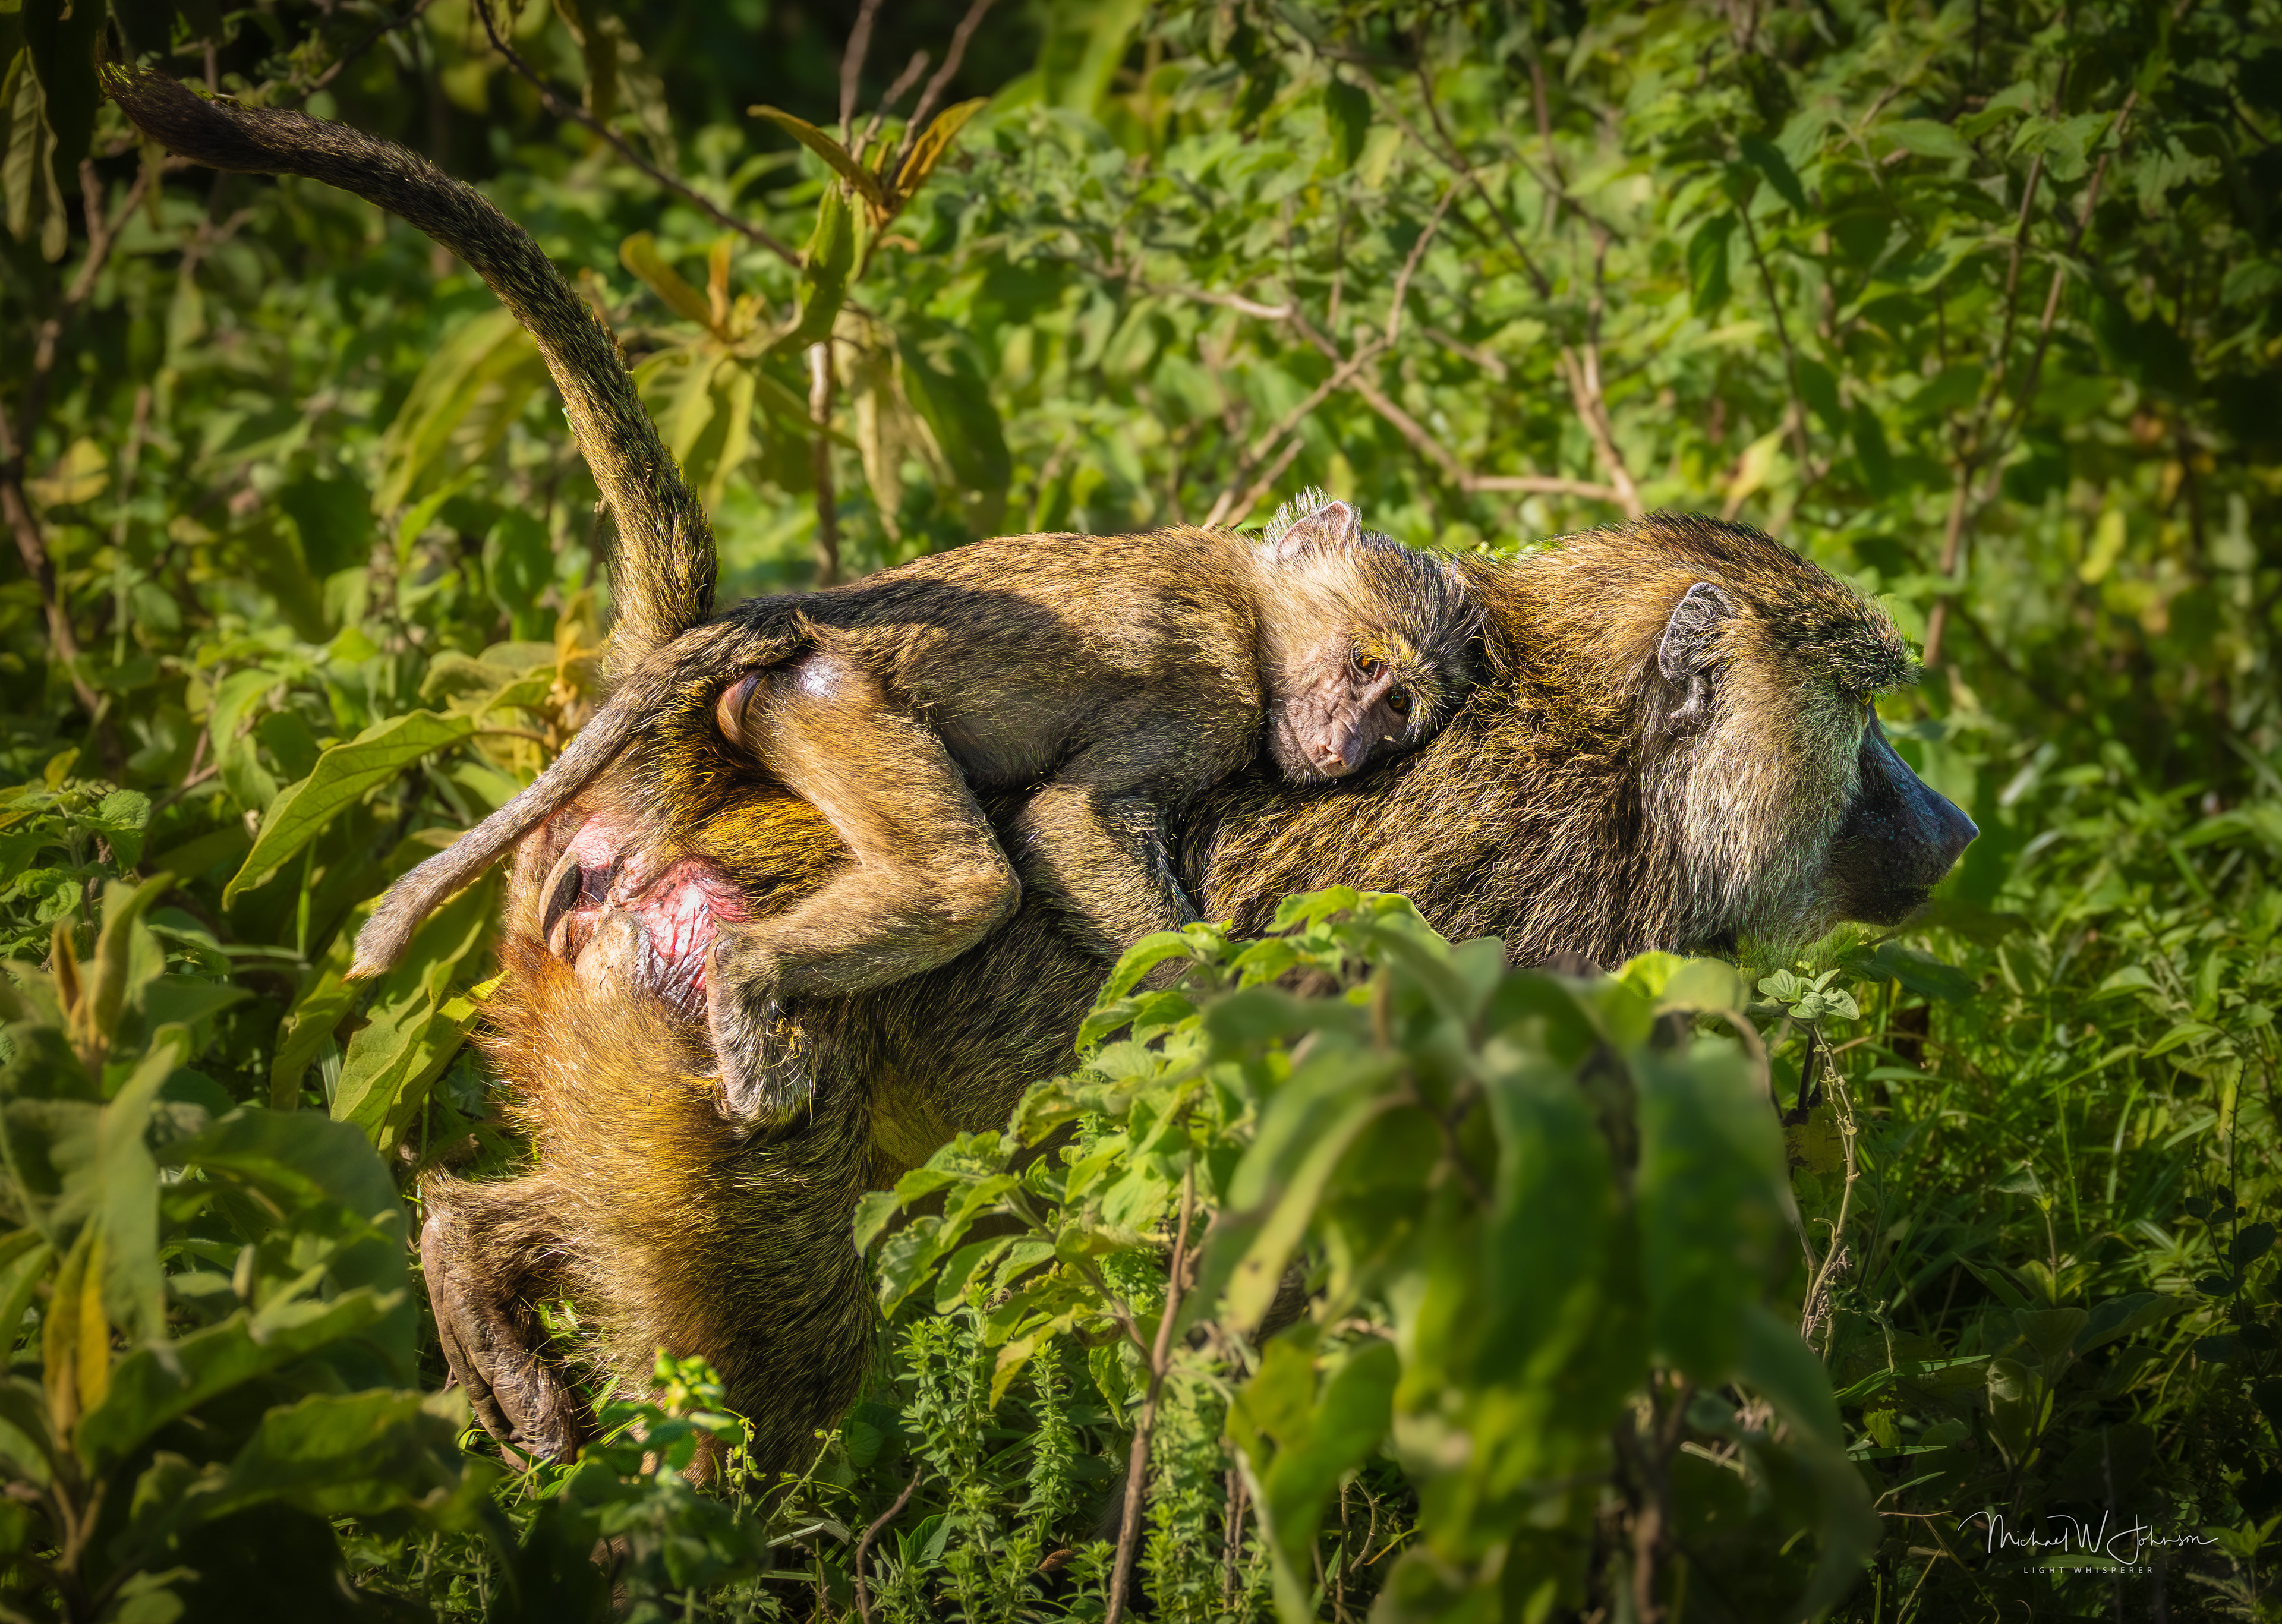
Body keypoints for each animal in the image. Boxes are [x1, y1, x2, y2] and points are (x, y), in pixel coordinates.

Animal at [108, 73, 1978, 1474]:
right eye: (1869, 725)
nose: (1954, 823)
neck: (1604, 756)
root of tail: (690, 770)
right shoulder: (1543, 947)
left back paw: (476, 1276)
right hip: (715, 1026)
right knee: (767, 1390)